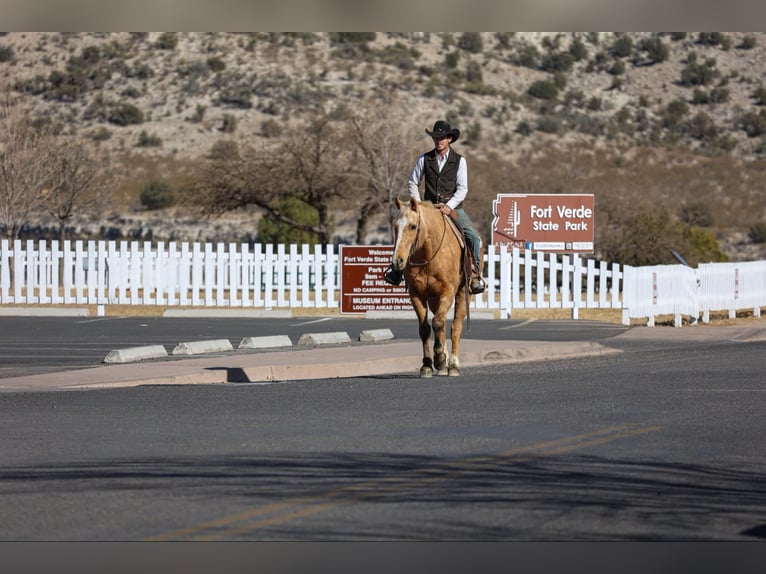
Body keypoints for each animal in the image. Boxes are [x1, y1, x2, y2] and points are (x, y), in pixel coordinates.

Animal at [392, 196, 472, 380]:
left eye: (413, 226)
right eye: (395, 226)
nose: (397, 261)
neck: (427, 254)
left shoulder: (448, 292)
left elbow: (437, 323)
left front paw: (440, 357)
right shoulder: (416, 295)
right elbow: (425, 329)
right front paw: (428, 364)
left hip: (462, 294)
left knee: (455, 327)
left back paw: (453, 365)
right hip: (434, 300)